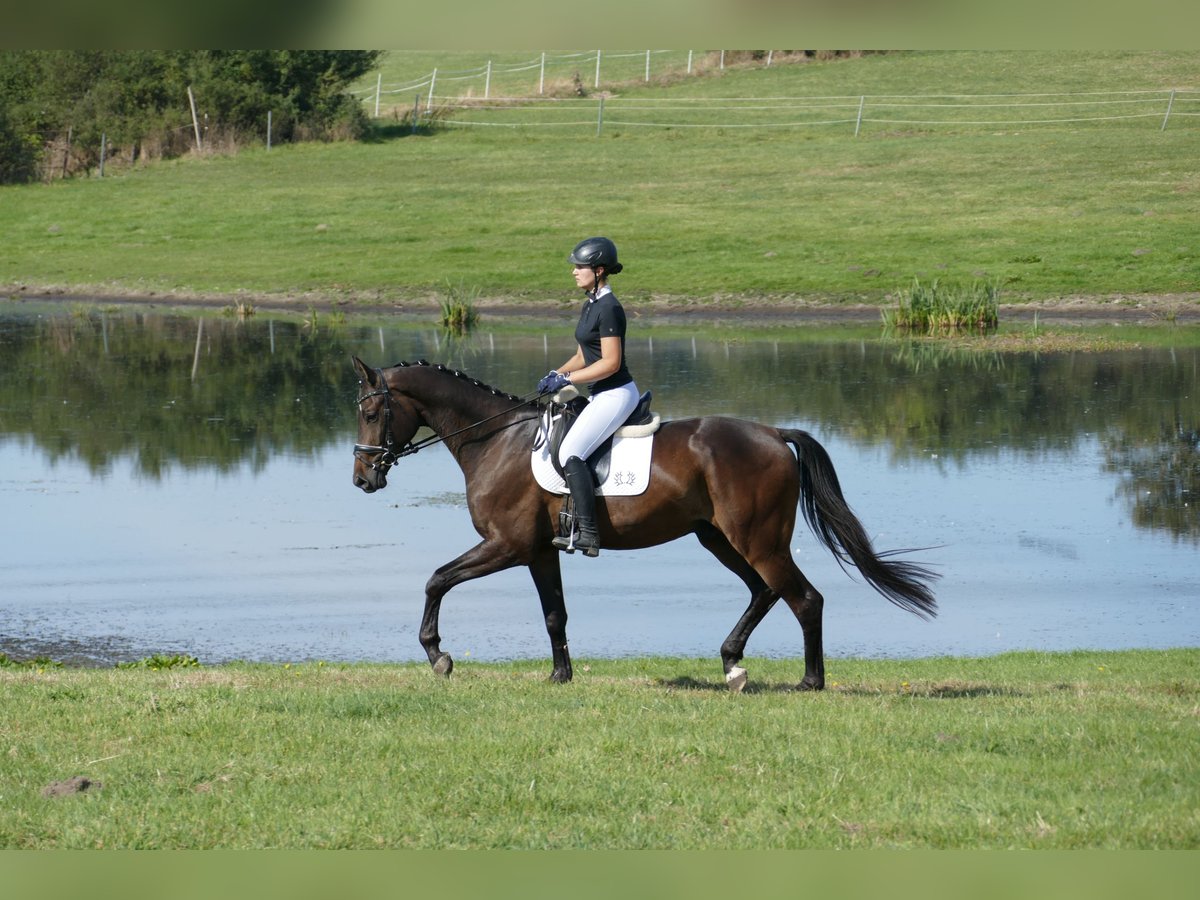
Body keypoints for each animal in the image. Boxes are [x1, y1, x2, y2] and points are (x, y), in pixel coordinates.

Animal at [350, 357, 936, 691]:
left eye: (372, 413)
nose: (362, 478)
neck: (496, 440)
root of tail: (774, 433)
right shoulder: (539, 551)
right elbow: (554, 615)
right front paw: (560, 676)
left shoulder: (506, 545)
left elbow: (437, 579)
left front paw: (438, 656)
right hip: (719, 538)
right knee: (765, 592)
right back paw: (732, 665)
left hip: (756, 539)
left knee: (803, 598)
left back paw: (810, 681)